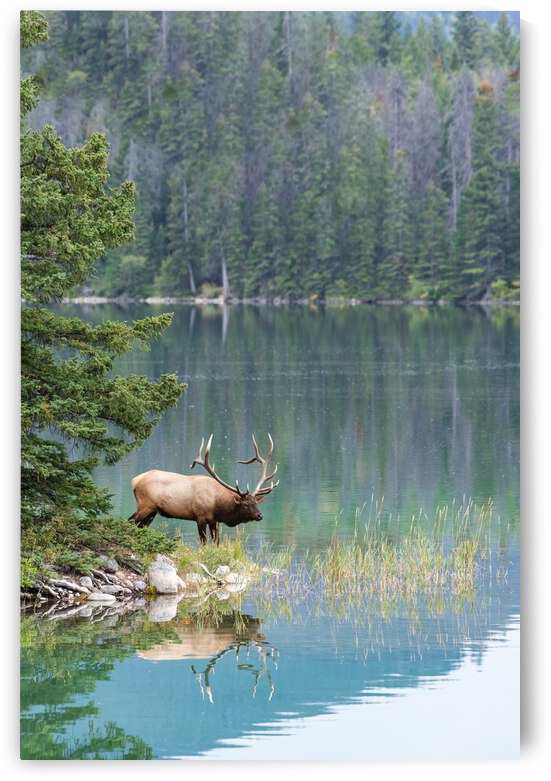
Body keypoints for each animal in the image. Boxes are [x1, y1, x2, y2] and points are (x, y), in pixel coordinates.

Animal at [128, 434, 279, 545]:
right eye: (245, 505)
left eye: (256, 503)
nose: (260, 515)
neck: (217, 505)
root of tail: (135, 480)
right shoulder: (200, 516)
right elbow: (204, 542)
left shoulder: (214, 521)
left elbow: (217, 542)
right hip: (145, 505)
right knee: (130, 521)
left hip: (153, 511)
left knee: (140, 527)